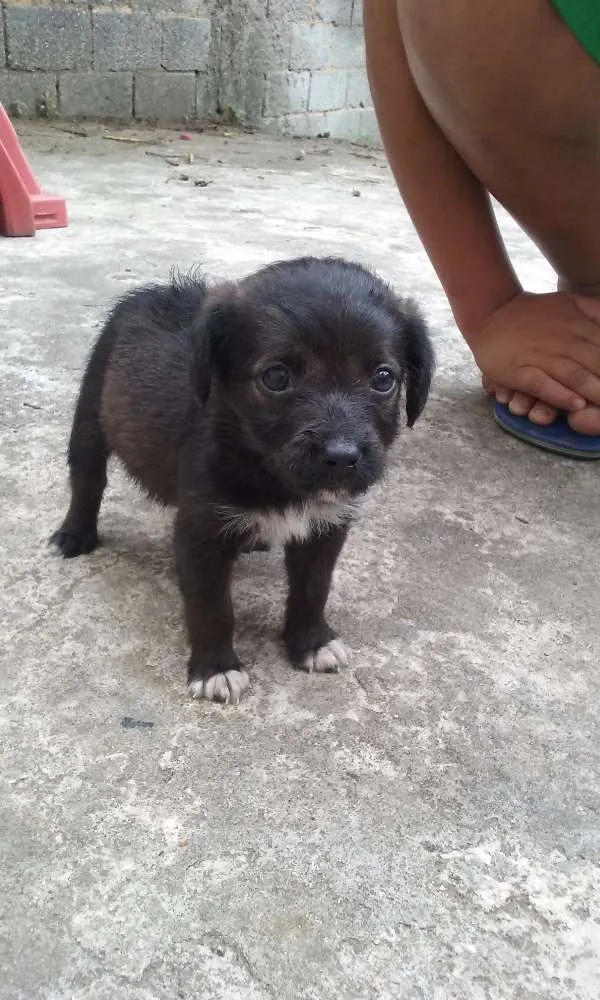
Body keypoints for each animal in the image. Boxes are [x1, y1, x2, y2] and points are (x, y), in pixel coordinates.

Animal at [51, 262, 434, 708]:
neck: (275, 477)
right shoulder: (201, 533)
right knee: (87, 481)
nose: (341, 457)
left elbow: (313, 589)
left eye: (384, 378)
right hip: (90, 416)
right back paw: (75, 534)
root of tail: (153, 292)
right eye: (276, 377)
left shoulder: (326, 529)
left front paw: (311, 642)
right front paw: (215, 668)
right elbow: (212, 606)